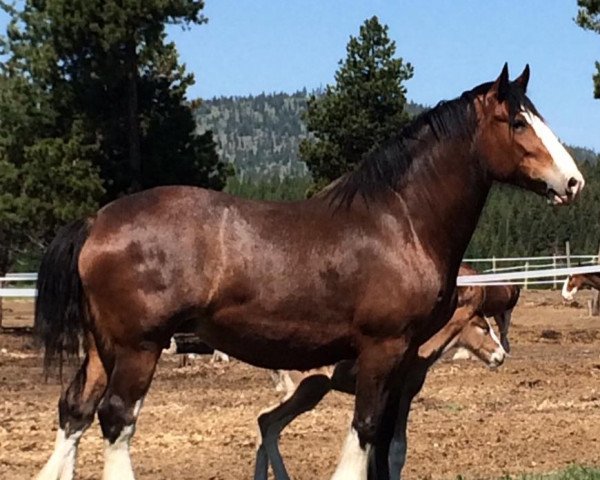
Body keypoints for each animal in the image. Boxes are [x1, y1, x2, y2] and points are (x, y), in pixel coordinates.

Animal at [254, 282, 506, 480]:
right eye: (484, 328)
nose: (501, 356)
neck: (419, 349)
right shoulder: (403, 395)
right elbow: (396, 450)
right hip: (311, 389)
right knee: (268, 422)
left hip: (305, 392)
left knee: (266, 421)